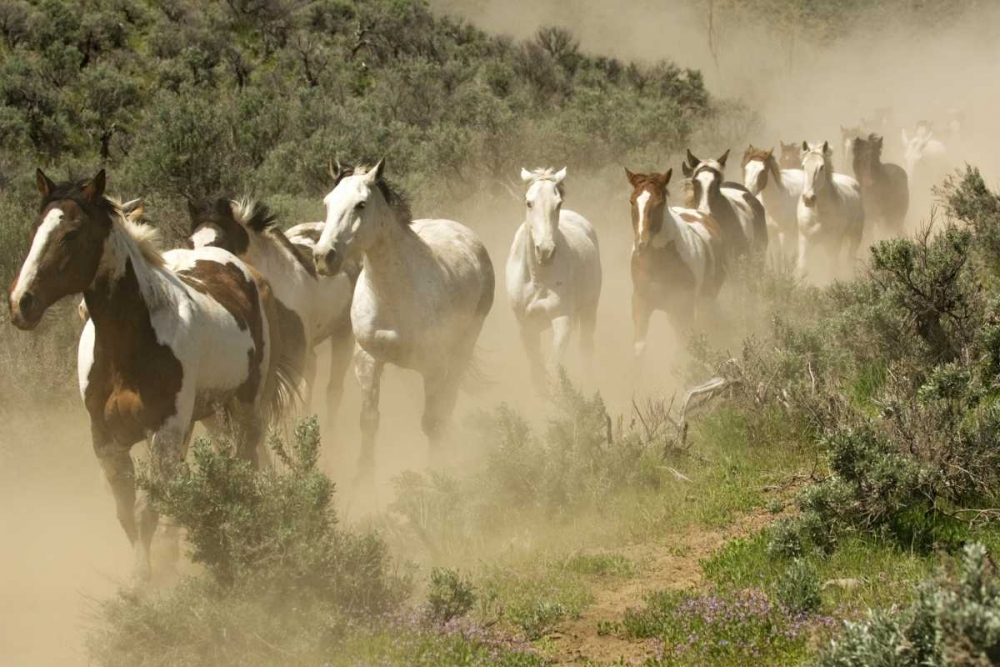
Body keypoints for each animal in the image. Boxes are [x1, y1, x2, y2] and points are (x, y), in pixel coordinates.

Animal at [7, 170, 296, 582]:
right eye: (36, 228)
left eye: (71, 234)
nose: (21, 303)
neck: (129, 346)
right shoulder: (106, 439)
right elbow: (127, 511)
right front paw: (146, 569)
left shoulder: (163, 432)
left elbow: (148, 509)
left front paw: (146, 579)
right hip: (203, 419)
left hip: (246, 409)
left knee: (247, 463)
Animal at [312, 160, 494, 475]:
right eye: (327, 202)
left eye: (361, 204)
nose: (324, 257)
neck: (393, 294)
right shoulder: (368, 361)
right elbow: (369, 421)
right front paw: (364, 479)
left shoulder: (434, 366)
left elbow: (432, 423)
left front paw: (437, 471)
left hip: (464, 344)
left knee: (449, 399)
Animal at [506, 167, 601, 391]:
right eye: (529, 202)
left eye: (558, 203)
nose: (546, 251)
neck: (537, 279)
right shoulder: (525, 326)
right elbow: (536, 370)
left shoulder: (563, 320)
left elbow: (551, 367)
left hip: (589, 310)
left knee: (586, 348)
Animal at [625, 168, 724, 362]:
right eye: (632, 201)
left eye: (659, 202)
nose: (641, 244)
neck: (658, 263)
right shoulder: (640, 303)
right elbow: (640, 348)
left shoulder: (683, 307)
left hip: (706, 299)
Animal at [797, 142, 865, 280]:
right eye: (803, 166)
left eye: (821, 167)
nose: (808, 198)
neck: (817, 214)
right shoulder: (804, 239)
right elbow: (802, 269)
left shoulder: (833, 242)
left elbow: (832, 269)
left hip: (855, 236)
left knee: (849, 260)